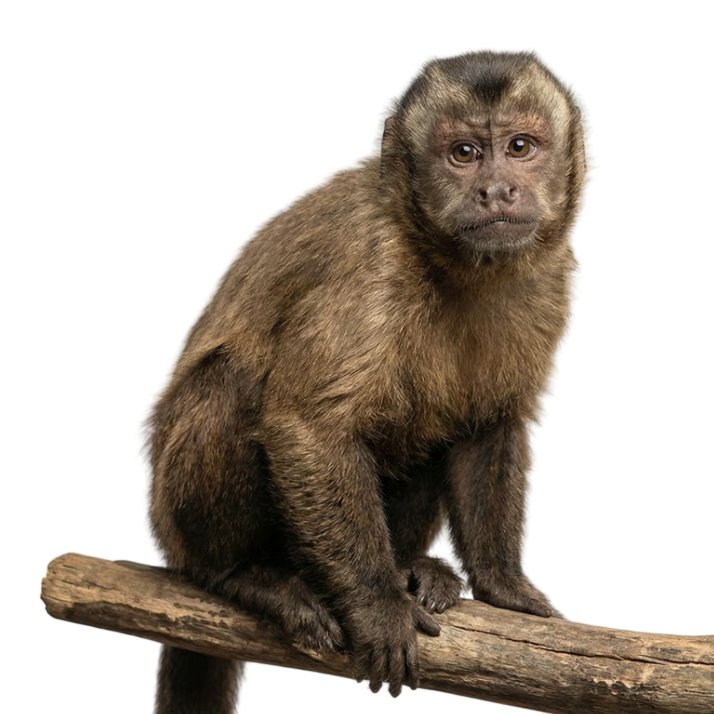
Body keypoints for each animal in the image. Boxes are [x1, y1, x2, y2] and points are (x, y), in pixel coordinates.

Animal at [136, 48, 597, 712]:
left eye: (519, 146)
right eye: (463, 154)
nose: (496, 190)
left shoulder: (553, 275)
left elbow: (489, 425)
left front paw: (504, 585)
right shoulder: (371, 261)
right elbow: (308, 427)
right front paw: (377, 608)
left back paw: (412, 566)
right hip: (173, 519)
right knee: (233, 383)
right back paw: (245, 576)